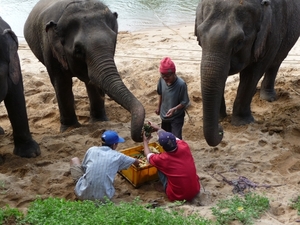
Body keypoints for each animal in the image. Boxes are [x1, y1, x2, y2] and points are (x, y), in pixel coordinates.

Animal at [23, 0, 145, 142]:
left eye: (114, 41)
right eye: (78, 50)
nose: (143, 133)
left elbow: (94, 81)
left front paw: (99, 122)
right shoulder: (49, 49)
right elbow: (62, 83)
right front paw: (70, 128)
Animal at [193, 0, 300, 147]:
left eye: (239, 41)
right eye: (199, 36)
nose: (221, 130)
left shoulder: (272, 31)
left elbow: (252, 73)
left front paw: (243, 123)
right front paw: (221, 118)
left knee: (276, 61)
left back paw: (269, 98)